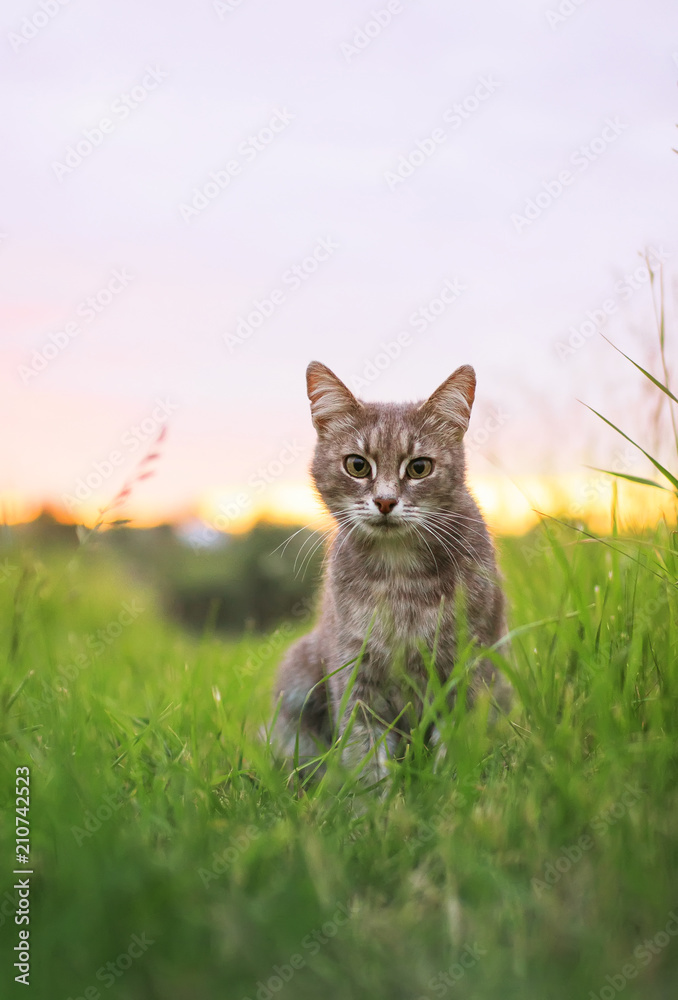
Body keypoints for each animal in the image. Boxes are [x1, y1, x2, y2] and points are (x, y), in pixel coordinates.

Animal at [270, 360, 510, 788]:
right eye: (357, 465)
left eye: (419, 467)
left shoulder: (467, 664)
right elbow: (363, 749)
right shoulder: (354, 669)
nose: (384, 501)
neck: (400, 579)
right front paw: (372, 802)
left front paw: (449, 789)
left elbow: (456, 740)